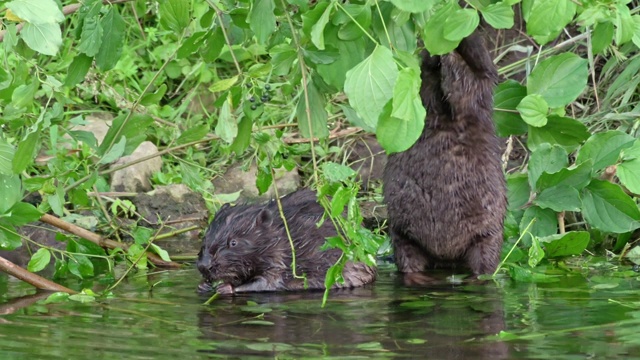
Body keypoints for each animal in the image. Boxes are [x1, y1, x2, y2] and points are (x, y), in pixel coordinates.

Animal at [195, 188, 376, 292]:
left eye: (233, 242)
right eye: (205, 237)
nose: (204, 266)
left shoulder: (281, 258)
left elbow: (268, 283)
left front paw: (226, 288)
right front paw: (204, 285)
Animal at [382, 33, 508, 284]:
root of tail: (446, 259)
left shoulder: (482, 82)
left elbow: (467, 85)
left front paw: (449, 55)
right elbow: (426, 84)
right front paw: (435, 53)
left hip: (487, 236)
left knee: (484, 263)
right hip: (401, 234)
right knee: (409, 259)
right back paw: (419, 279)